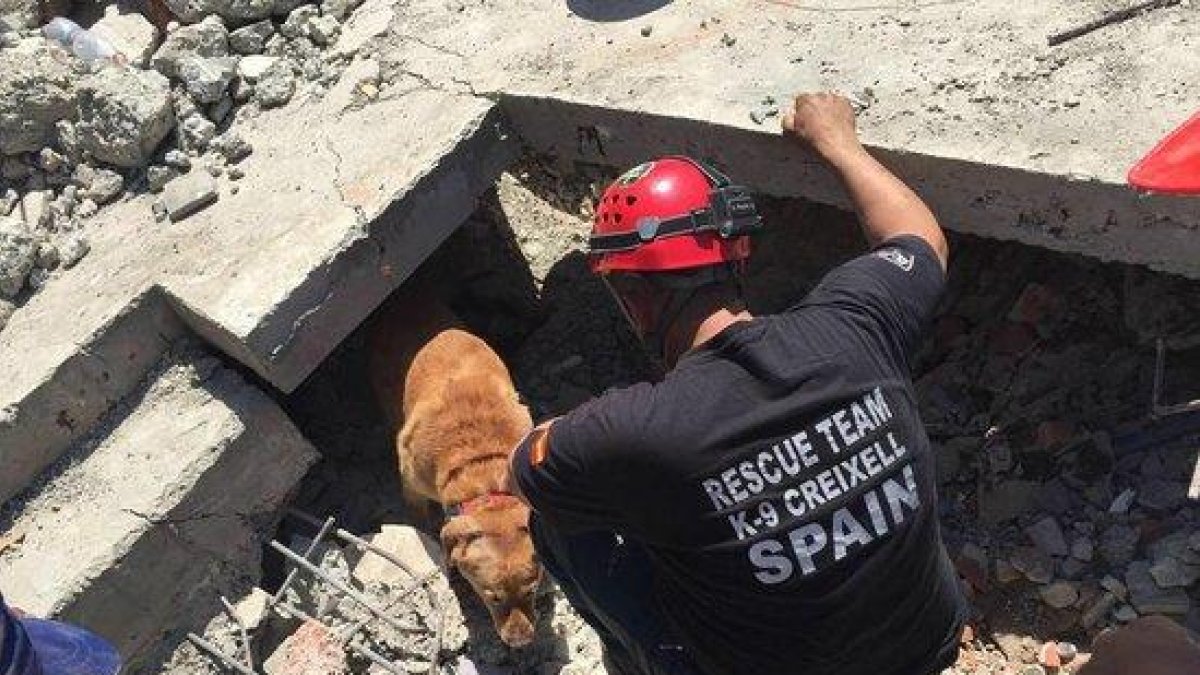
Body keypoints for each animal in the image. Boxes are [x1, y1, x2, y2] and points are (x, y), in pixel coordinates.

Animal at [367, 284, 542, 648]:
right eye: (491, 598)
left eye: (532, 592)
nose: (520, 642)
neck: (483, 474)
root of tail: (402, 300)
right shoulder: (411, 482)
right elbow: (424, 523)